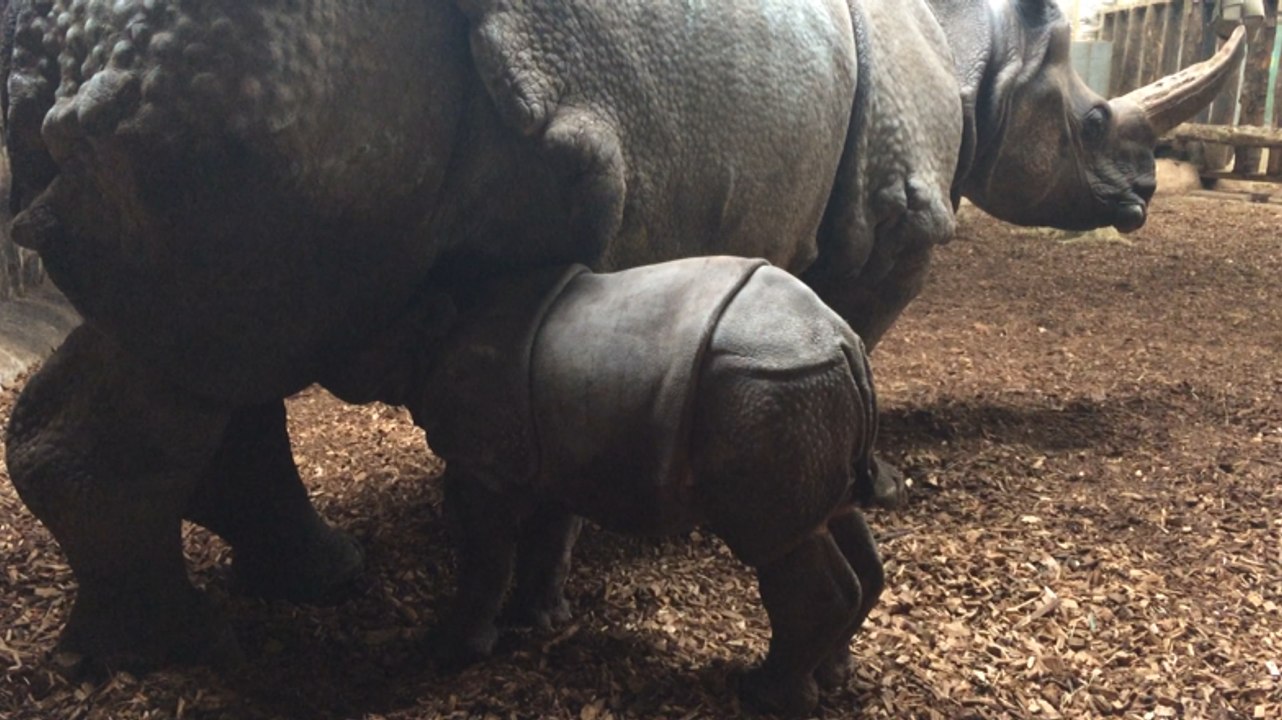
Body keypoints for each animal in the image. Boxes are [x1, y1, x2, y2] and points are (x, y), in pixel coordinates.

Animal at [346, 256, 885, 715]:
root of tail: (843, 342)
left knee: (778, 545)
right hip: (804, 396)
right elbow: (552, 540)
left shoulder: (480, 463)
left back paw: (763, 695)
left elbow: (485, 557)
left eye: (374, 346)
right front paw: (541, 621)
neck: (437, 335)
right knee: (834, 521)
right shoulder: (557, 458)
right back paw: (833, 676)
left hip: (772, 391)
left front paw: (449, 652)